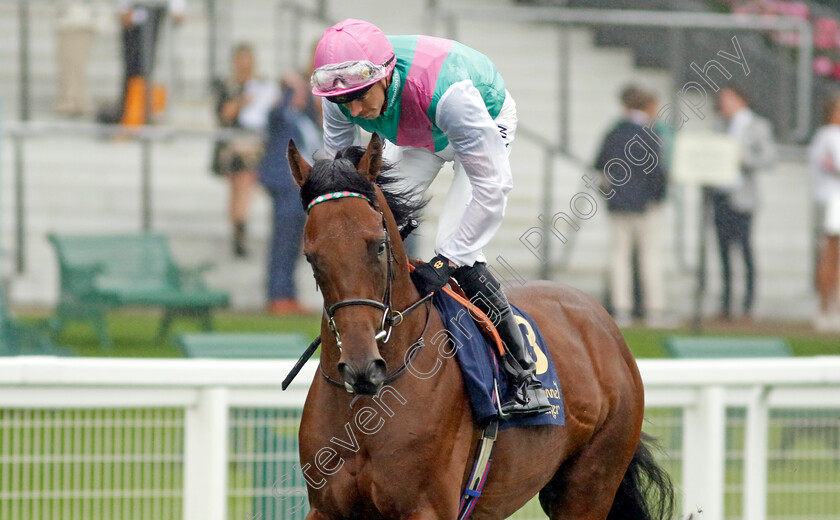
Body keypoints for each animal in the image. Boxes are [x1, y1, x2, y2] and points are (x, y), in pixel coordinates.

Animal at [286, 135, 672, 520]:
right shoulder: (325, 509)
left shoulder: (427, 508)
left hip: (591, 484)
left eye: (378, 246)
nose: (362, 367)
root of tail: (603, 321)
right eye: (311, 256)